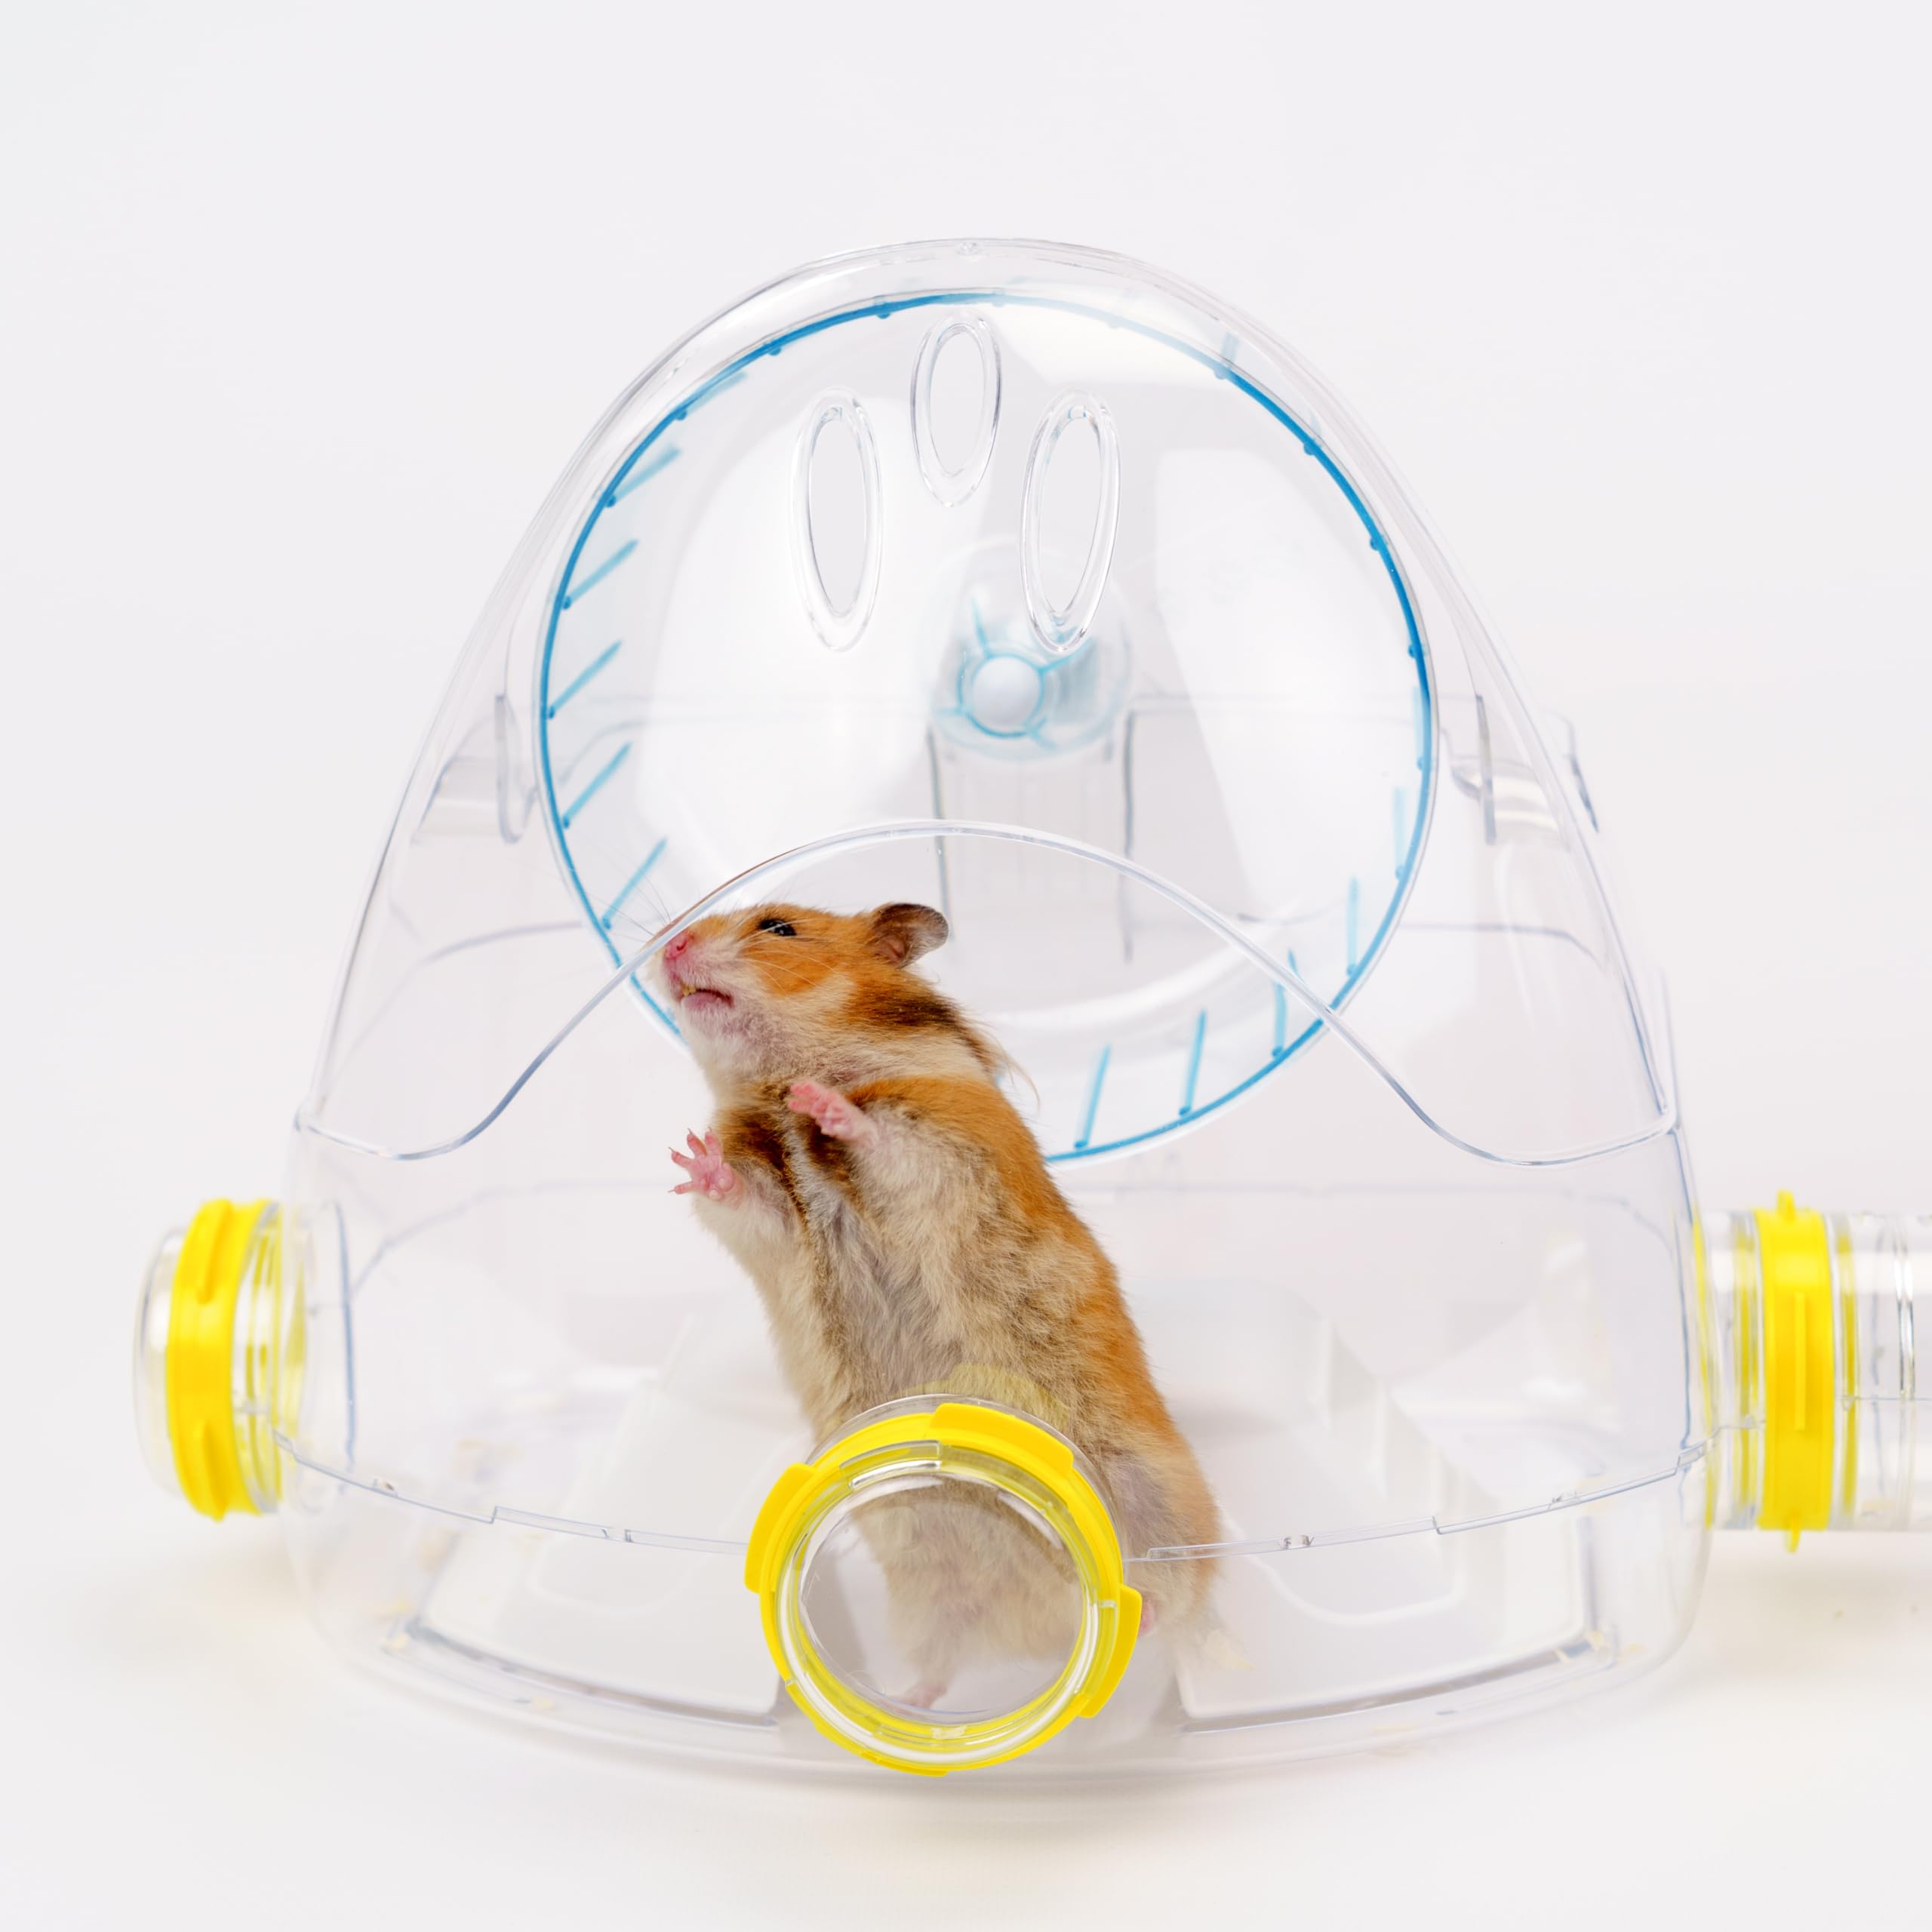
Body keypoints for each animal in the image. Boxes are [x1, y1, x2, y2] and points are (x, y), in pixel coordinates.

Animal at [652, 899, 1219, 1705]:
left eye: (778, 929)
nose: (670, 945)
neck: (782, 1076)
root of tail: (1039, 1629)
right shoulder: (773, 1212)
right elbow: (742, 1193)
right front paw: (692, 1156)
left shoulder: (942, 1137)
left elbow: (875, 1136)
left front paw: (823, 1106)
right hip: (925, 1581)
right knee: (948, 1657)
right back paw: (906, 1702)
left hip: (1159, 1507)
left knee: (1171, 1597)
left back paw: (1149, 1628)